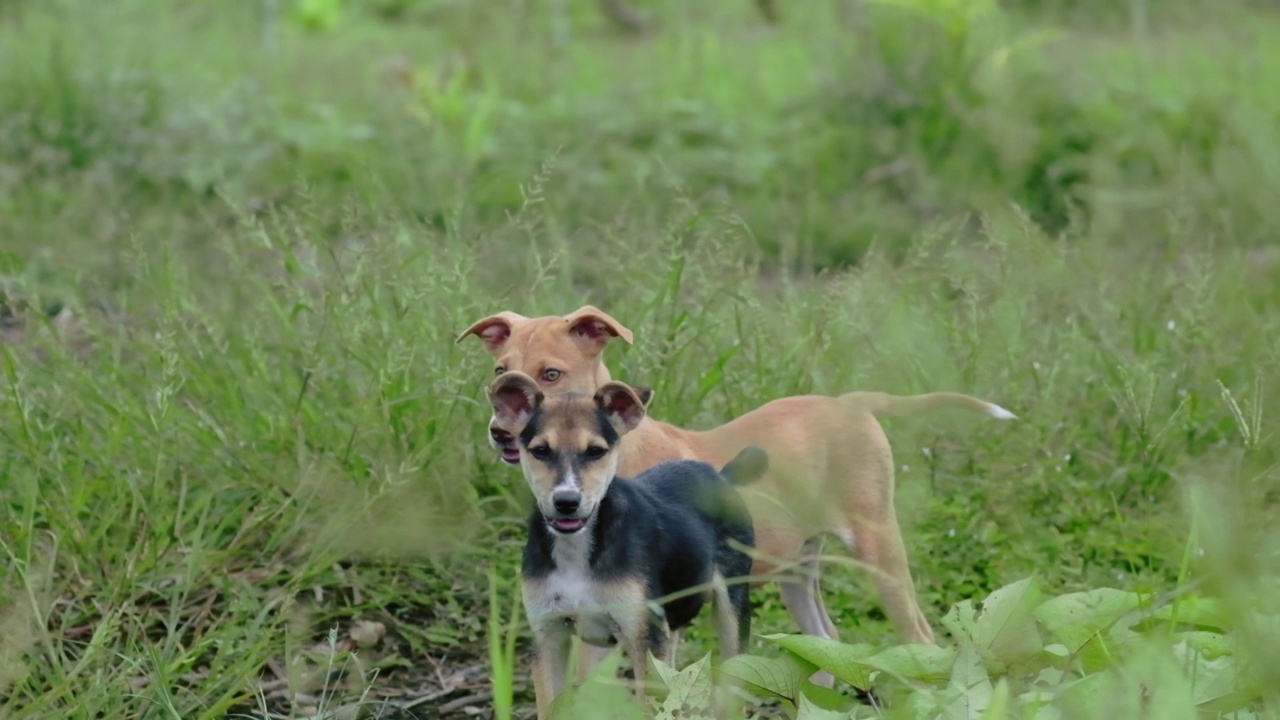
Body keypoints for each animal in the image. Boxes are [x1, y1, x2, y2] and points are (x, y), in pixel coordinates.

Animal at [455, 304, 1013, 653]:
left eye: (551, 374)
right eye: (501, 374)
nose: (502, 432)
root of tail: (851, 402)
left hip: (878, 548)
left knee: (921, 639)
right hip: (797, 570)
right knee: (829, 646)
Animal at [483, 368, 762, 712]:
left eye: (595, 451)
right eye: (540, 451)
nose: (566, 502)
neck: (577, 551)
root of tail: (721, 476)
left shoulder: (643, 637)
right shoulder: (549, 636)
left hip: (732, 605)